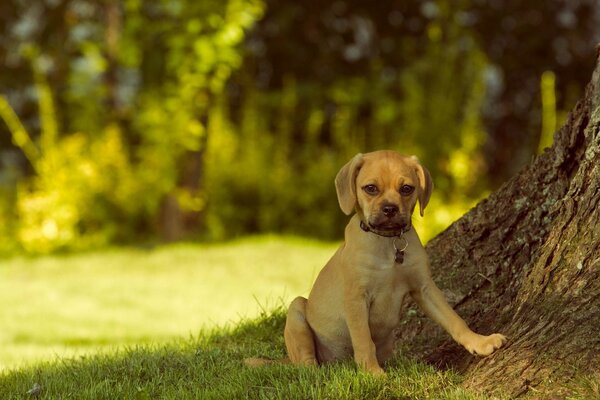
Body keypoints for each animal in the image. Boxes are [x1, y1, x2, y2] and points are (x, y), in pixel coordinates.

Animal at [248, 151, 506, 376]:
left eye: (406, 188)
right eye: (370, 188)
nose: (390, 209)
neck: (388, 243)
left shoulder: (424, 288)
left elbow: (453, 319)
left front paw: (479, 341)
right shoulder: (356, 298)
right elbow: (364, 341)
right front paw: (372, 372)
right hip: (296, 310)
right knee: (306, 365)